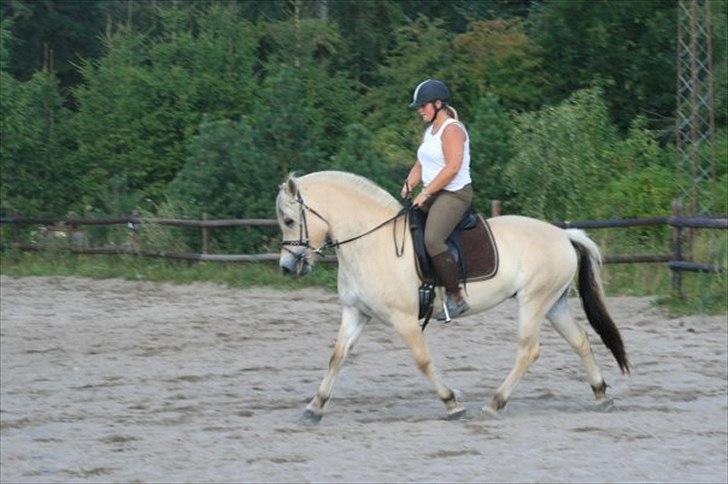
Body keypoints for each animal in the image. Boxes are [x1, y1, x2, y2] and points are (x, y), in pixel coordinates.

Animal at [276, 172, 628, 422]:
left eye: (290, 220)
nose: (287, 267)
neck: (371, 243)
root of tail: (563, 235)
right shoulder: (355, 312)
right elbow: (337, 356)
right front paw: (314, 406)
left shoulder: (404, 319)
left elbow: (422, 360)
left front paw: (451, 403)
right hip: (553, 304)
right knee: (580, 341)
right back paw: (601, 395)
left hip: (533, 302)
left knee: (529, 351)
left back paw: (495, 403)